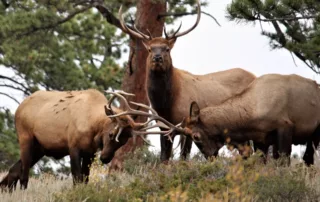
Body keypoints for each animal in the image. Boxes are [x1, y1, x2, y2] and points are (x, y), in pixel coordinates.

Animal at [0, 89, 153, 191]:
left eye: (123, 141)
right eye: (111, 134)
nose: (105, 158)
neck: (93, 128)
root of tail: (19, 108)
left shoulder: (90, 153)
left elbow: (85, 178)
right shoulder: (73, 147)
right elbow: (77, 177)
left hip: (40, 148)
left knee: (14, 170)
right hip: (26, 138)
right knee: (24, 173)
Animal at [117, 0, 255, 162]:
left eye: (167, 49)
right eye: (150, 49)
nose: (157, 58)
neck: (165, 104)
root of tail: (254, 76)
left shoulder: (187, 123)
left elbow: (184, 156)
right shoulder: (163, 126)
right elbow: (164, 157)